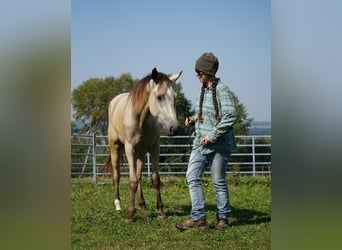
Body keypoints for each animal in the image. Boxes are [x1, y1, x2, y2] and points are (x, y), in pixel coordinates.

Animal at [107, 67, 182, 222]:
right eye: (159, 97)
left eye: (175, 97)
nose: (174, 128)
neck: (141, 118)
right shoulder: (129, 149)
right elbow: (132, 181)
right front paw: (130, 214)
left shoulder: (154, 148)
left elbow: (155, 179)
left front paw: (161, 211)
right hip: (115, 148)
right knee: (117, 176)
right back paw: (118, 205)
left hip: (140, 153)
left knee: (139, 175)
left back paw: (142, 204)